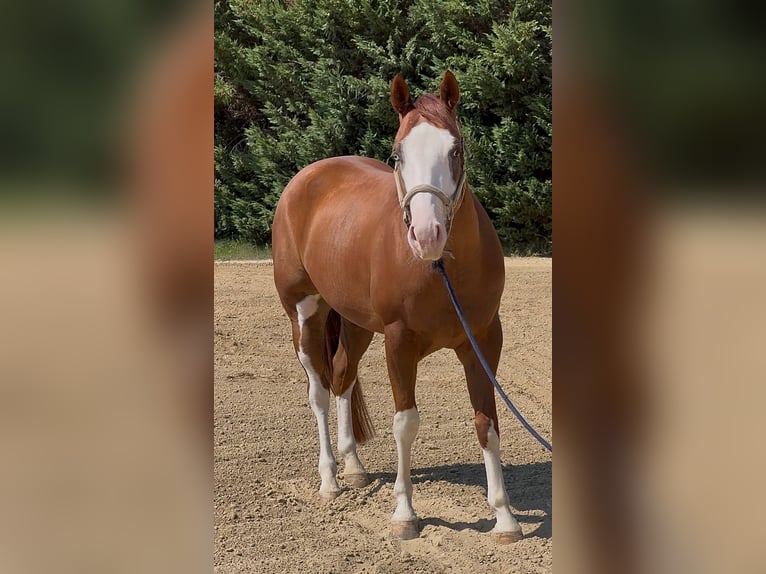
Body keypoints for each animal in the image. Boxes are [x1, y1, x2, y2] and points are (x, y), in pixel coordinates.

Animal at [272, 71, 522, 543]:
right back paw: (330, 480)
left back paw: (354, 469)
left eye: (456, 150)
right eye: (396, 154)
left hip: (355, 324)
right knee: (318, 390)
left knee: (342, 377)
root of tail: (307, 178)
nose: (427, 234)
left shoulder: (483, 340)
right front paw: (404, 514)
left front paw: (504, 517)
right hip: (305, 314)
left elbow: (487, 421)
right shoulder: (398, 342)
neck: (440, 270)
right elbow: (405, 424)